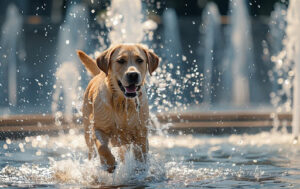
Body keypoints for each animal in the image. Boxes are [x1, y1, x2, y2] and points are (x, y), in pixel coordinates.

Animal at [76, 44, 159, 173]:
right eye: (121, 60)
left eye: (139, 60)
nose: (133, 75)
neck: (123, 103)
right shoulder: (98, 128)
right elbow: (102, 147)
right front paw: (109, 164)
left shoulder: (141, 133)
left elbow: (141, 154)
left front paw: (140, 170)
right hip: (87, 132)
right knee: (92, 150)